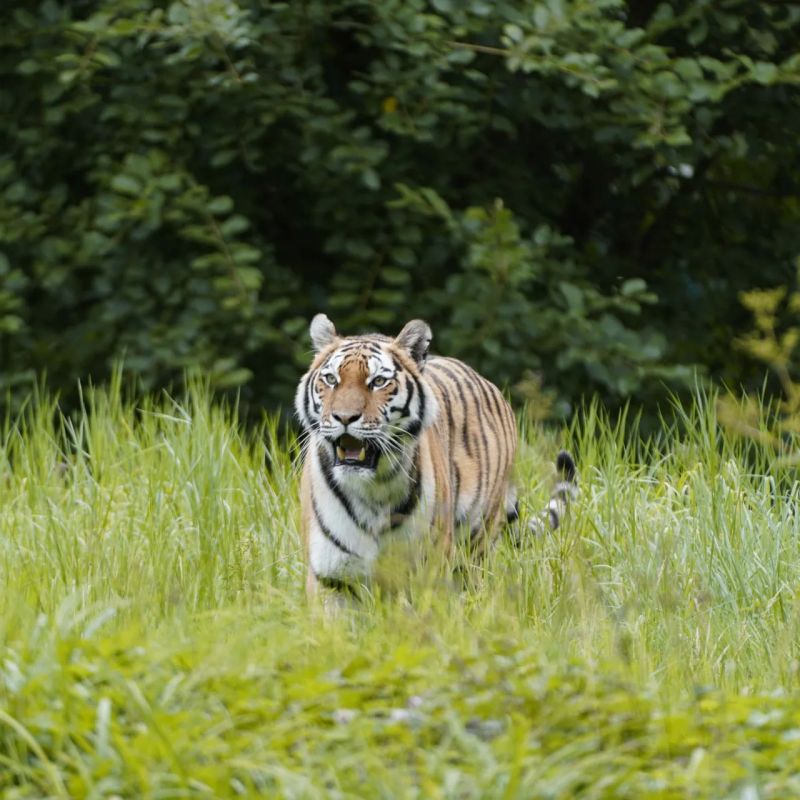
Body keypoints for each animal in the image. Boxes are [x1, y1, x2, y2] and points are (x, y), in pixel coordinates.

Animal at [294, 314, 576, 600]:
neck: (373, 490)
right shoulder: (332, 576)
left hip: (476, 540)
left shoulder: (427, 570)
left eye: (378, 382)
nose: (344, 417)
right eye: (331, 379)